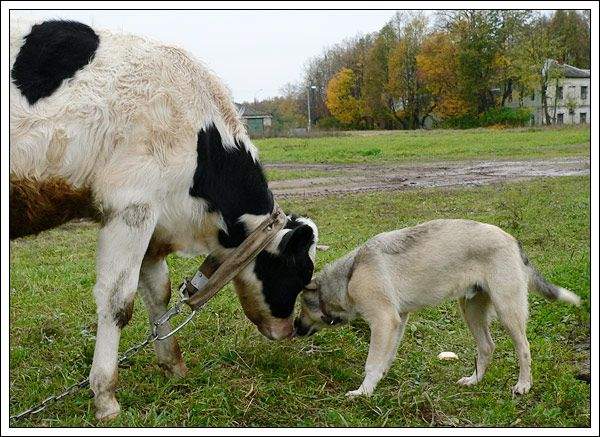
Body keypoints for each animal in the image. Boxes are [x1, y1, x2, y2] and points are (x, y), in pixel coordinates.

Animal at [9, 20, 318, 418]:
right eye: (300, 272)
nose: (289, 330)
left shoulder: (153, 224)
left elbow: (159, 292)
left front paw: (173, 365)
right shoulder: (131, 207)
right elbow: (118, 301)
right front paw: (105, 396)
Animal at [296, 220, 580, 396]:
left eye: (300, 306)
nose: (295, 328)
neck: (349, 276)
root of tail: (512, 240)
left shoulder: (383, 321)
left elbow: (372, 362)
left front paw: (364, 392)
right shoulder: (398, 321)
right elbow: (386, 357)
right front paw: (377, 383)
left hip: (507, 311)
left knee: (524, 349)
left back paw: (523, 385)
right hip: (471, 310)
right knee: (487, 347)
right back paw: (475, 381)